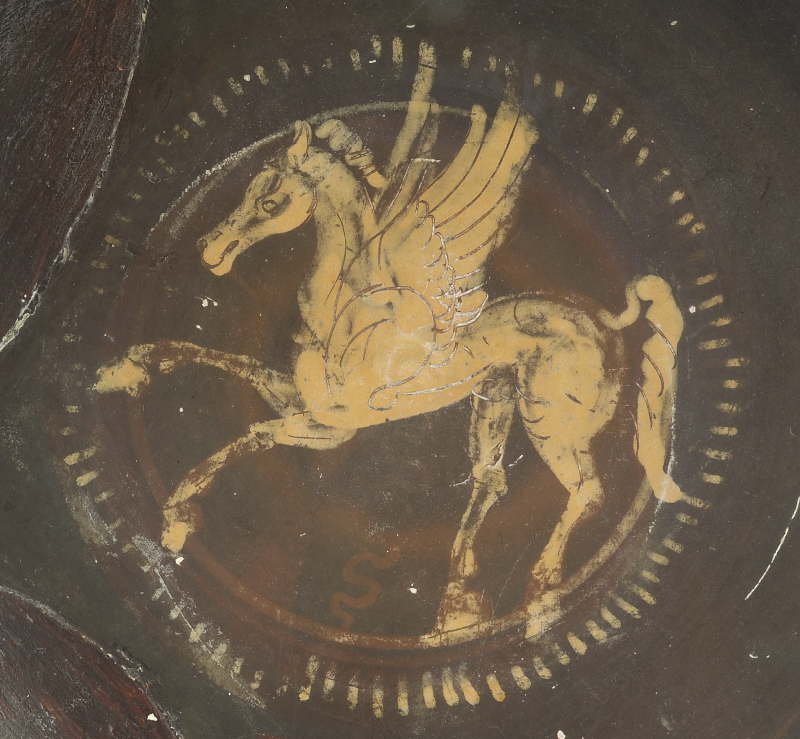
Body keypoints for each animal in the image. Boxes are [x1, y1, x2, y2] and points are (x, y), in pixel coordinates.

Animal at [95, 89, 686, 633]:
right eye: (247, 188)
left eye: (270, 200)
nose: (212, 251)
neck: (346, 307)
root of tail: (605, 321)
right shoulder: (300, 397)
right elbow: (226, 360)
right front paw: (130, 367)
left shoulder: (335, 427)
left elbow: (256, 433)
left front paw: (177, 513)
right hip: (496, 399)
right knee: (490, 479)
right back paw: (456, 605)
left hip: (549, 420)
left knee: (586, 490)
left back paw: (539, 595)